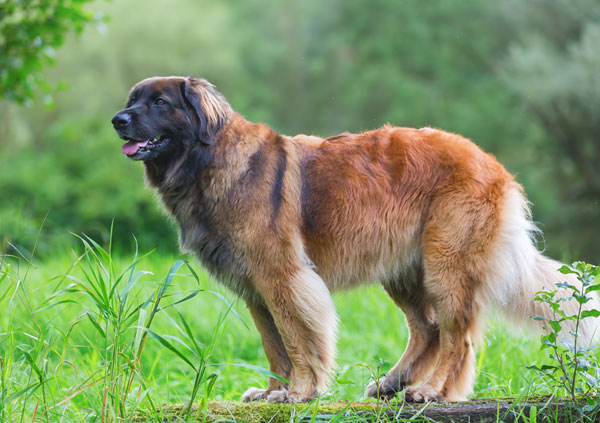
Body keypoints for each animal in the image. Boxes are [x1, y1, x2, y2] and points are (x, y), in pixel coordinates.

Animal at [110, 76, 596, 404]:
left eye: (159, 102)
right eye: (131, 101)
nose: (118, 120)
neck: (209, 162)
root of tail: (491, 162)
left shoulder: (283, 277)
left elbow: (297, 338)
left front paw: (300, 391)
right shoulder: (254, 290)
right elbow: (273, 345)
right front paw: (271, 392)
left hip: (447, 266)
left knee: (458, 338)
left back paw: (429, 391)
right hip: (405, 270)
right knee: (428, 329)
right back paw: (392, 383)